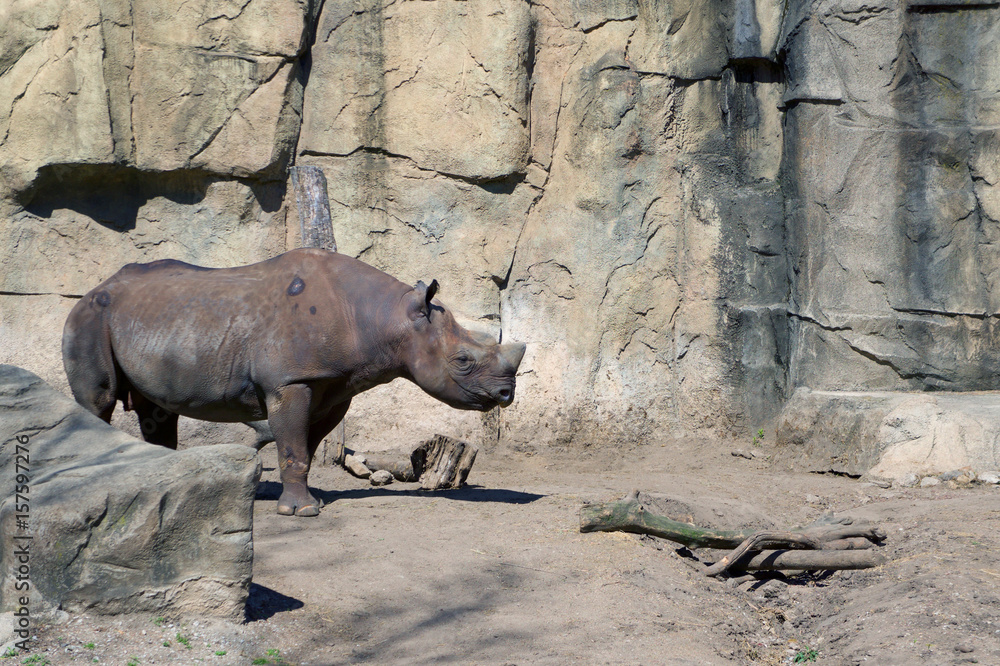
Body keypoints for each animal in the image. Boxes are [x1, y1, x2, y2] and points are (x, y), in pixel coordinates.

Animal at [63, 248, 525, 516]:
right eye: (462, 361)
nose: (507, 394)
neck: (385, 316)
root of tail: (94, 288)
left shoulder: (333, 386)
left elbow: (306, 444)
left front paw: (310, 502)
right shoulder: (289, 381)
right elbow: (292, 443)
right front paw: (301, 514)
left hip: (146, 321)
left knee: (155, 409)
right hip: (89, 317)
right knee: (100, 399)